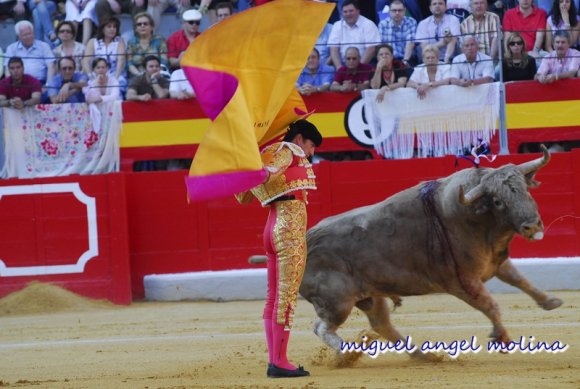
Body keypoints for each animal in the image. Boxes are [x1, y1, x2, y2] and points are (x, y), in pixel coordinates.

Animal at [300, 146, 560, 360]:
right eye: (498, 201)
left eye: (526, 191)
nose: (532, 226)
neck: (474, 219)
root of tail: (306, 241)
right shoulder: (463, 283)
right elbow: (490, 305)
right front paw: (502, 337)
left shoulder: (495, 262)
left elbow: (520, 280)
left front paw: (550, 301)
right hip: (338, 302)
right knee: (323, 327)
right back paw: (347, 355)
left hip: (370, 296)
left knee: (380, 324)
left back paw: (423, 355)